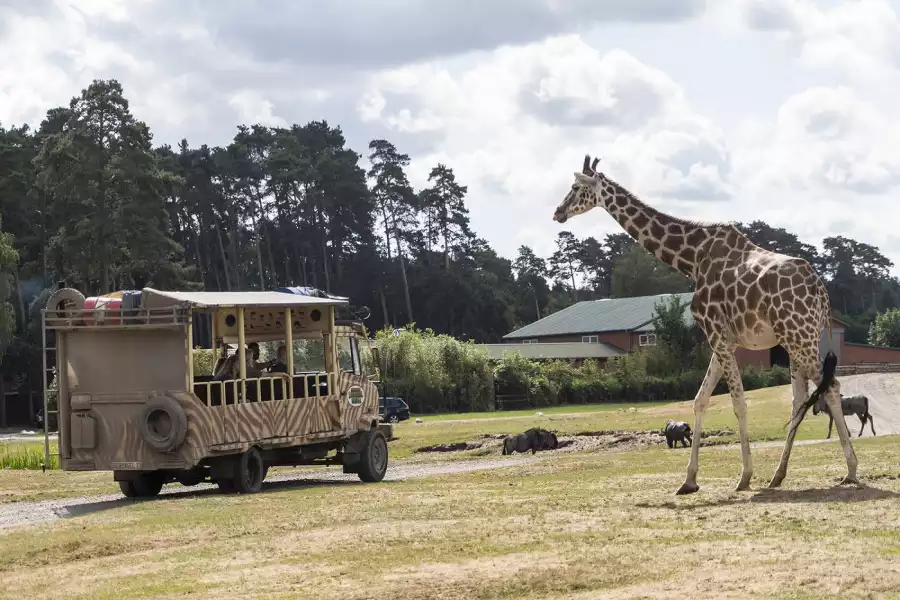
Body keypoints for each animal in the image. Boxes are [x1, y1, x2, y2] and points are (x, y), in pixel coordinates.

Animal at [556, 156, 856, 496]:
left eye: (575, 187)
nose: (558, 212)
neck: (692, 258)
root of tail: (821, 291)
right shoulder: (724, 337)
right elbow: (700, 400)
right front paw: (688, 480)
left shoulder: (715, 332)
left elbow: (738, 403)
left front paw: (744, 476)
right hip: (796, 339)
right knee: (800, 399)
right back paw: (778, 475)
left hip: (799, 337)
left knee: (831, 388)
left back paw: (851, 470)